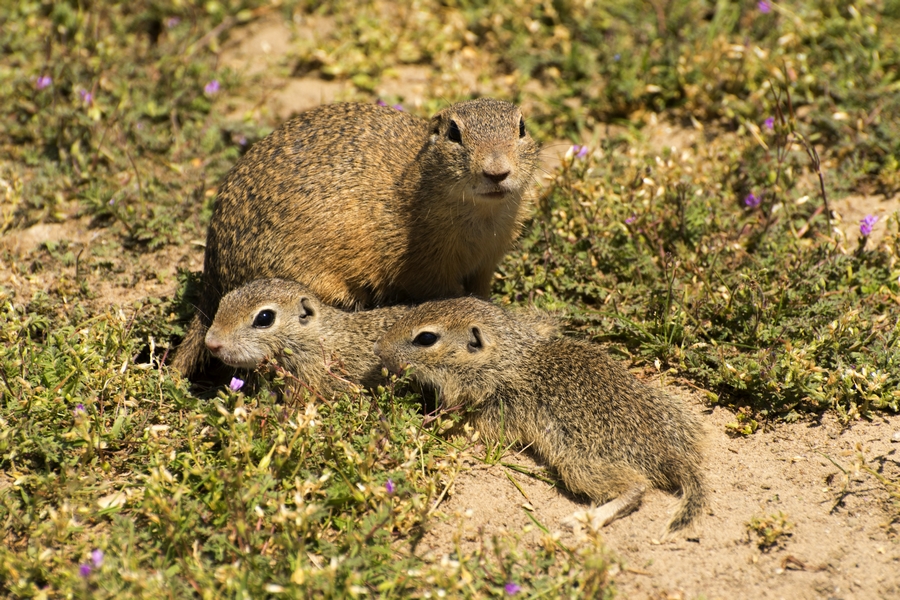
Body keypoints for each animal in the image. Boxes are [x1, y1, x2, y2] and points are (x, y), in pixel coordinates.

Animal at [172, 100, 536, 378]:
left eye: (521, 127)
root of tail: (211, 273)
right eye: (454, 133)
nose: (497, 172)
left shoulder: (485, 265)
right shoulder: (429, 274)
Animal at [374, 296, 712, 536]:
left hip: (580, 463)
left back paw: (585, 519)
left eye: (426, 338)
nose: (379, 348)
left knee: (635, 488)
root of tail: (667, 454)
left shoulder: (495, 408)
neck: (509, 356)